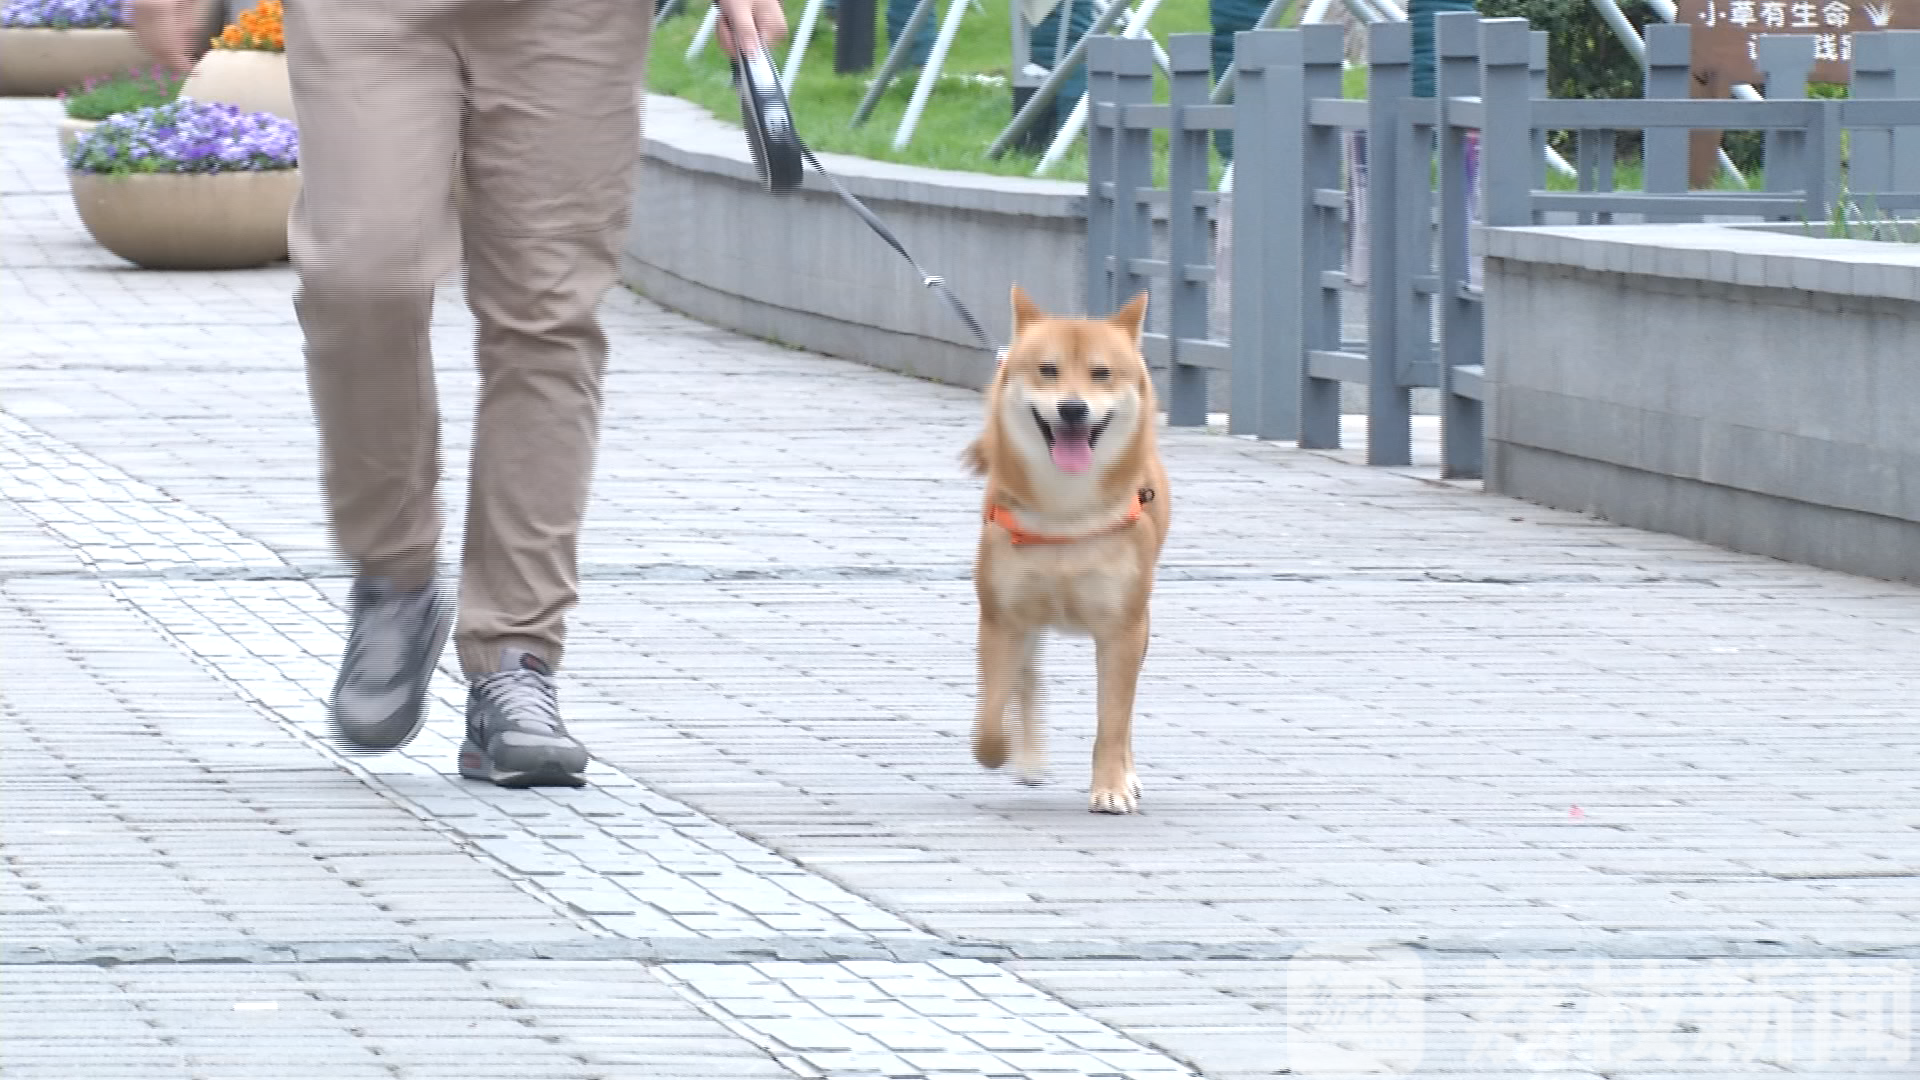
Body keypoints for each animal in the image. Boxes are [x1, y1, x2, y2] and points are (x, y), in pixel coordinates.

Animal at [960, 282, 1167, 810]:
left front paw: (1112, 787)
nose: (1073, 408)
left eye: (1101, 373)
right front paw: (1001, 751)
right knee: (1027, 677)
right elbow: (992, 712)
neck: (1065, 514)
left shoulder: (1122, 628)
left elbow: (1113, 721)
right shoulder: (1001, 615)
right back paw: (1029, 758)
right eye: (1048, 369)